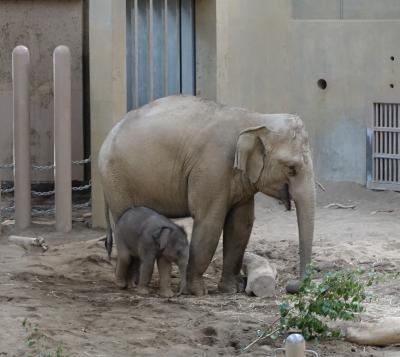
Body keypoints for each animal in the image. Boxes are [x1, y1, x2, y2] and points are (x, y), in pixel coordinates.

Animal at [97, 94, 316, 294]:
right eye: (292, 168)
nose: (291, 286)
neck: (254, 118)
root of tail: (106, 138)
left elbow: (241, 224)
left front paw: (231, 289)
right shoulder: (212, 168)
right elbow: (210, 222)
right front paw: (197, 291)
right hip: (117, 179)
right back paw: (131, 284)